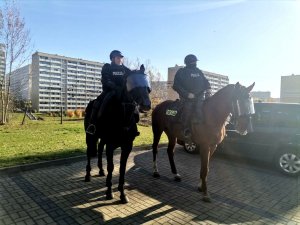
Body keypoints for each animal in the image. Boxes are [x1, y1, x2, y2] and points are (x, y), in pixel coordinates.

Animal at [84, 70, 151, 204]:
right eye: (132, 85)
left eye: (146, 84)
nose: (146, 105)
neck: (123, 117)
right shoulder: (110, 146)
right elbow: (111, 167)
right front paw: (109, 192)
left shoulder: (127, 146)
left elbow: (122, 168)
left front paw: (122, 193)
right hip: (90, 136)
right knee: (89, 153)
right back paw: (88, 175)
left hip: (102, 139)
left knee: (100, 149)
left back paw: (101, 170)